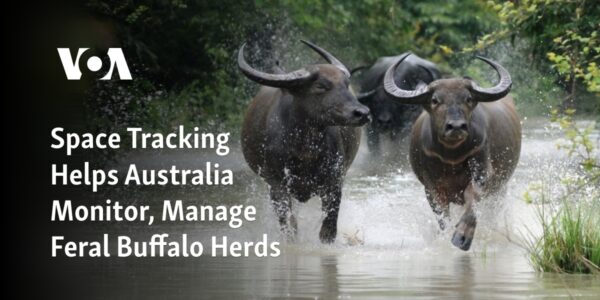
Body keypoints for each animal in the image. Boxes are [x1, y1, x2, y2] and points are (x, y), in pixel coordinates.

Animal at [237, 39, 368, 244]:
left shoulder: (334, 181)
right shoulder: (277, 184)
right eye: (321, 86)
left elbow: (328, 227)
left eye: (346, 84)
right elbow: (289, 224)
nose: (362, 113)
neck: (305, 149)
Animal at [384, 54, 520, 251]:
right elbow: (442, 215)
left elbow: (472, 200)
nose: (456, 126)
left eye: (468, 98)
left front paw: (462, 236)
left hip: (500, 188)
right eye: (435, 100)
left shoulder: (482, 172)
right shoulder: (430, 186)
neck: (451, 155)